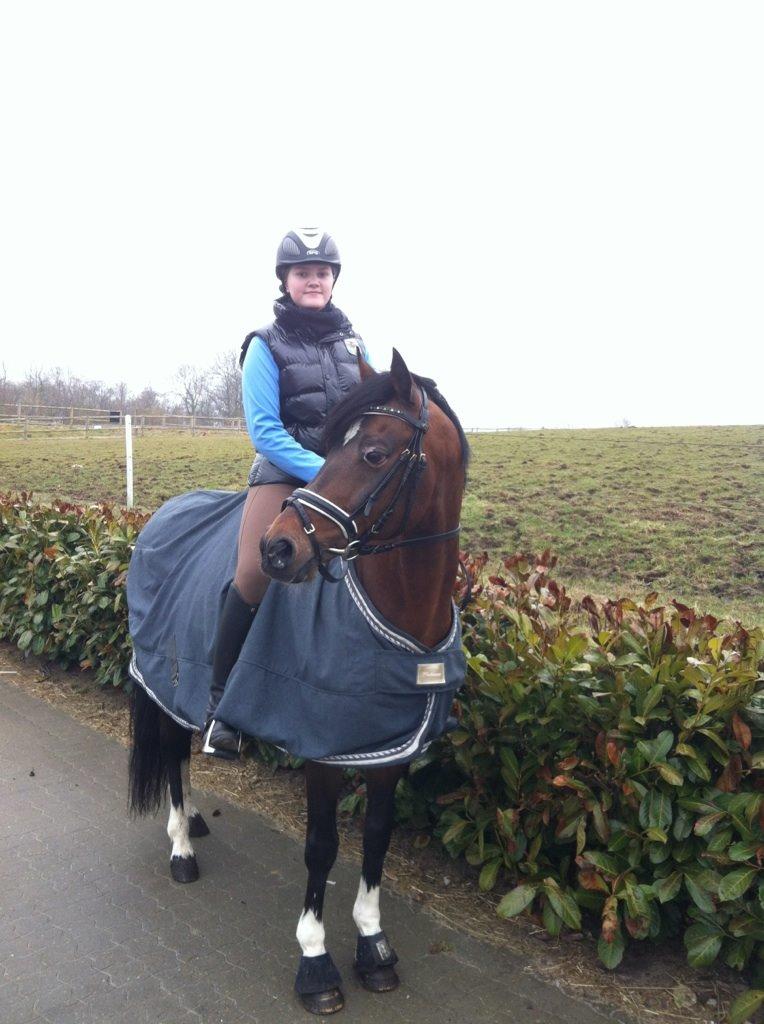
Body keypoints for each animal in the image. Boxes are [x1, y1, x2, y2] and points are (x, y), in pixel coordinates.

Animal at [127, 349, 469, 1014]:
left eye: (373, 453)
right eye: (330, 447)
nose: (277, 549)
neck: (399, 615)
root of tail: (160, 514)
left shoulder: (389, 751)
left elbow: (377, 840)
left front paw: (373, 945)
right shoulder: (323, 754)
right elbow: (322, 847)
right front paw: (315, 962)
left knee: (180, 755)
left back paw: (195, 822)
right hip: (163, 681)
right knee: (174, 754)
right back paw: (182, 847)